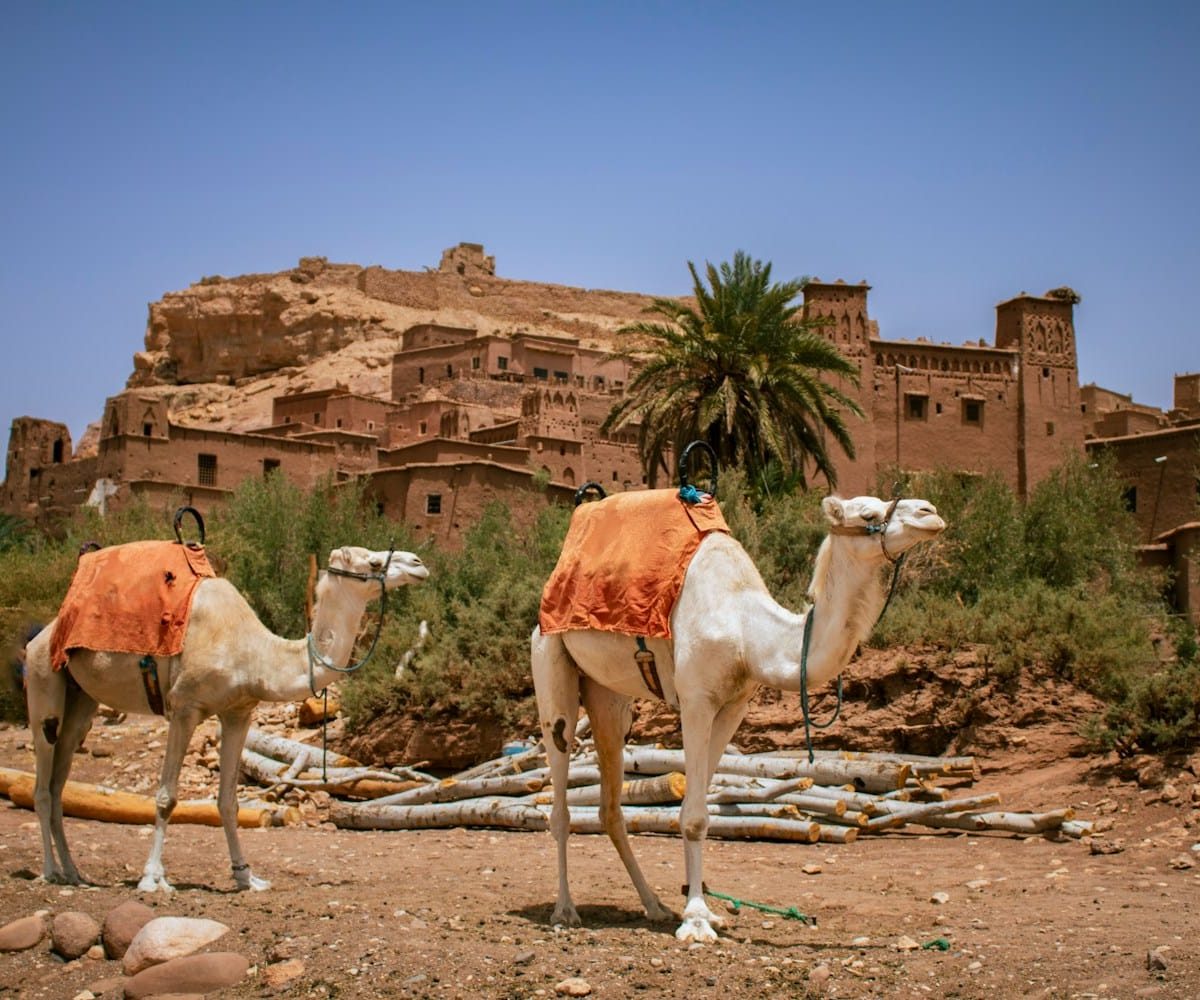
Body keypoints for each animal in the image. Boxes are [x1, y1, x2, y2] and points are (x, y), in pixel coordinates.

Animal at [23, 544, 428, 893]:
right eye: (372, 561)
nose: (419, 563)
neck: (254, 653)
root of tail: (41, 635)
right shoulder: (184, 707)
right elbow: (166, 797)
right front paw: (152, 878)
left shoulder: (238, 712)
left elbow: (228, 801)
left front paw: (247, 877)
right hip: (44, 679)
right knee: (43, 780)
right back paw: (50, 871)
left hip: (82, 699)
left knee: (60, 779)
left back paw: (74, 872)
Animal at [531, 493, 946, 943]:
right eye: (868, 514)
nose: (930, 513)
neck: (748, 631)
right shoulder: (695, 698)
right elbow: (693, 816)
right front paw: (696, 921)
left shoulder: (734, 705)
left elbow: (699, 807)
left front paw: (703, 911)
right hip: (550, 662)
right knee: (559, 787)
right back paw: (565, 910)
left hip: (608, 694)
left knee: (610, 806)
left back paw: (654, 906)